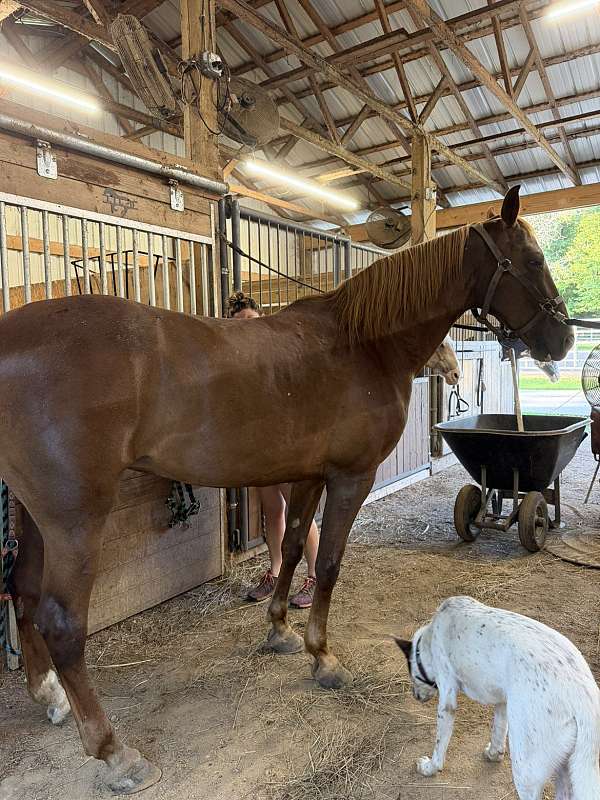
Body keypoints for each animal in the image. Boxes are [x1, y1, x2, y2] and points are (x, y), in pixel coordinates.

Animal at [6, 187, 573, 793]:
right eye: (533, 260)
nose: (562, 338)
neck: (364, 344)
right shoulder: (350, 476)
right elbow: (329, 563)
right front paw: (322, 657)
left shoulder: (307, 475)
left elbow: (296, 545)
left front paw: (280, 629)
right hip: (75, 520)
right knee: (62, 621)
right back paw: (114, 752)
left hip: (35, 517)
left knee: (23, 589)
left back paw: (48, 694)